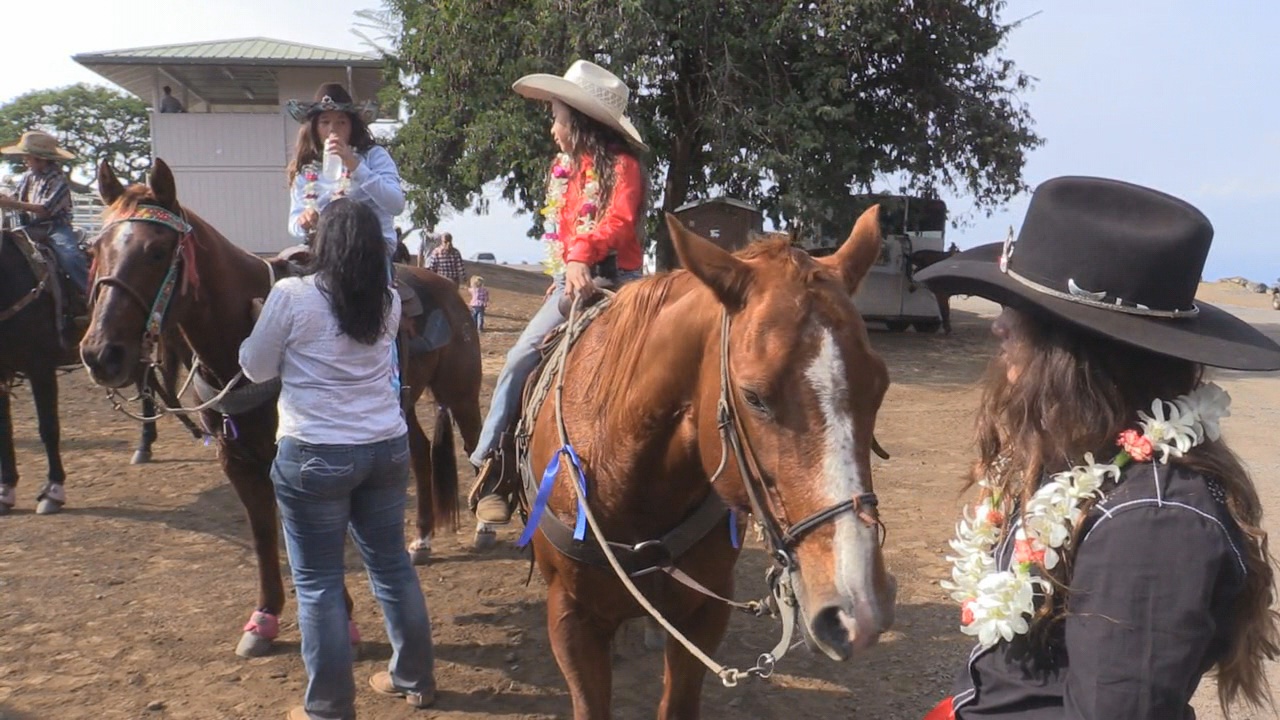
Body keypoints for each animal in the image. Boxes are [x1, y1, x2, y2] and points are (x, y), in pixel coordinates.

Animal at [78, 158, 483, 655]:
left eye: (156, 251)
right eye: (94, 250)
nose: (101, 354)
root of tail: (444, 286)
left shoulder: (297, 462)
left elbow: (309, 541)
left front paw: (343, 621)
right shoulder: (237, 460)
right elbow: (264, 533)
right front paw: (264, 618)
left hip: (460, 396)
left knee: (476, 445)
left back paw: (487, 525)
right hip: (399, 409)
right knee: (422, 453)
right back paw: (422, 538)